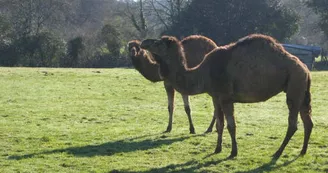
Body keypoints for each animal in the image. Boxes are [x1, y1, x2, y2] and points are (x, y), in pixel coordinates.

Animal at [140, 33, 312, 158]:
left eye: (158, 43)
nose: (144, 42)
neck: (203, 73)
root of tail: (305, 68)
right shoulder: (216, 97)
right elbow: (220, 124)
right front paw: (217, 149)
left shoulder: (226, 97)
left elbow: (231, 125)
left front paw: (233, 152)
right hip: (302, 91)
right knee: (308, 122)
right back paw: (303, 151)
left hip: (295, 86)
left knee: (293, 123)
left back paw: (278, 152)